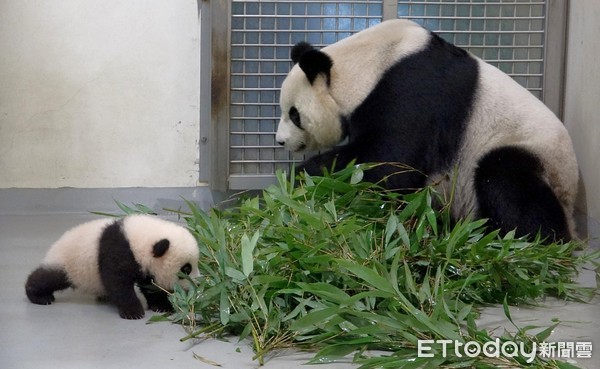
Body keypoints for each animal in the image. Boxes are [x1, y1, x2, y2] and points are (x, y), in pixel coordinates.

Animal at [25, 214, 200, 318]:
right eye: (186, 269)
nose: (197, 284)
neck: (137, 238)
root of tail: (56, 244)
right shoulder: (117, 251)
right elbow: (117, 283)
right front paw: (133, 311)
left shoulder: (145, 266)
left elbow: (150, 285)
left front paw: (162, 305)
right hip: (69, 263)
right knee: (48, 278)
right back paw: (40, 296)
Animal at [276, 19, 576, 242]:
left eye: (294, 114)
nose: (280, 141)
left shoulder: (412, 90)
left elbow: (390, 163)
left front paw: (296, 180)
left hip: (534, 154)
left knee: (507, 182)